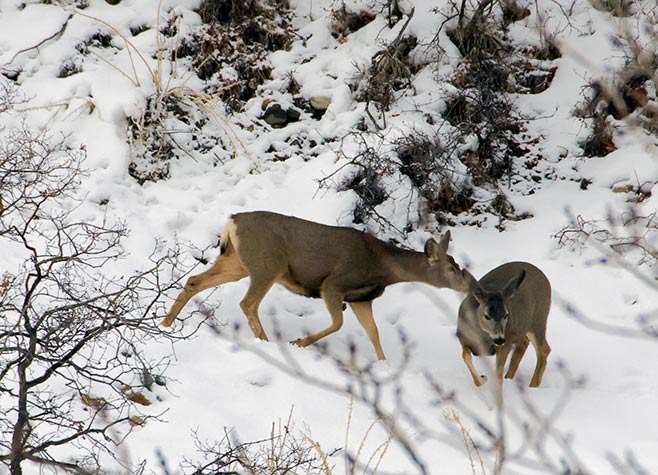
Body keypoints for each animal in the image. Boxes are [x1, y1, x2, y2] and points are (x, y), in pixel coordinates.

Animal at [160, 210, 468, 358]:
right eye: (452, 268)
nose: (468, 286)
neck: (382, 267)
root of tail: (231, 222)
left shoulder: (361, 299)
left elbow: (374, 334)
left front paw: (384, 365)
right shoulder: (333, 284)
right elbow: (338, 323)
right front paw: (299, 342)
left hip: (238, 262)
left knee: (194, 281)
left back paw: (166, 324)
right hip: (268, 263)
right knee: (248, 303)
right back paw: (267, 342)